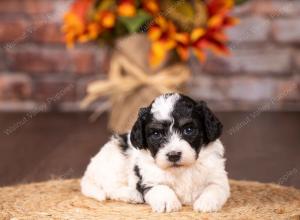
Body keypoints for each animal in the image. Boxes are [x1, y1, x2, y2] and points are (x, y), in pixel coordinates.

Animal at [80, 93, 230, 213]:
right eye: (156, 134)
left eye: (188, 130)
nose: (173, 155)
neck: (181, 170)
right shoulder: (148, 179)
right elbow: (160, 188)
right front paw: (167, 202)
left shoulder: (218, 177)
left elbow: (214, 188)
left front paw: (206, 203)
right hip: (115, 162)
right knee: (110, 188)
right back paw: (132, 195)